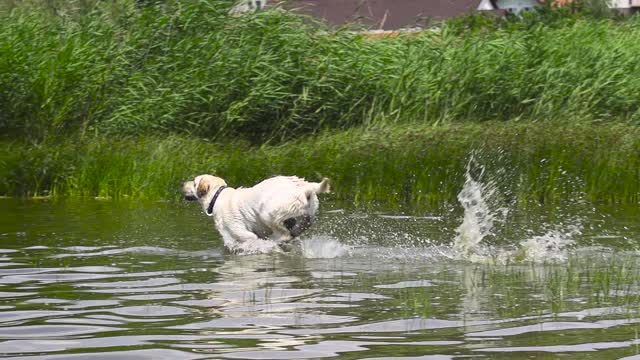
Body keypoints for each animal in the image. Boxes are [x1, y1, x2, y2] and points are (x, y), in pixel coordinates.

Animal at [180, 174, 330, 253]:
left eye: (194, 182)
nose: (182, 183)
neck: (217, 196)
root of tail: (306, 187)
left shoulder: (241, 233)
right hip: (306, 216)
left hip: (267, 213)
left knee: (284, 235)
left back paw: (274, 241)